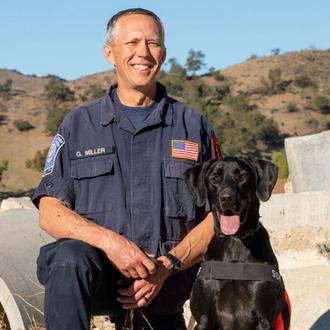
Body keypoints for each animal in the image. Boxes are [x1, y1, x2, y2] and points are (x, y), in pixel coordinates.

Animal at [184, 157, 290, 330]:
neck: (235, 240)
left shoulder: (264, 318)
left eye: (242, 177)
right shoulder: (203, 318)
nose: (227, 198)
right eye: (215, 178)